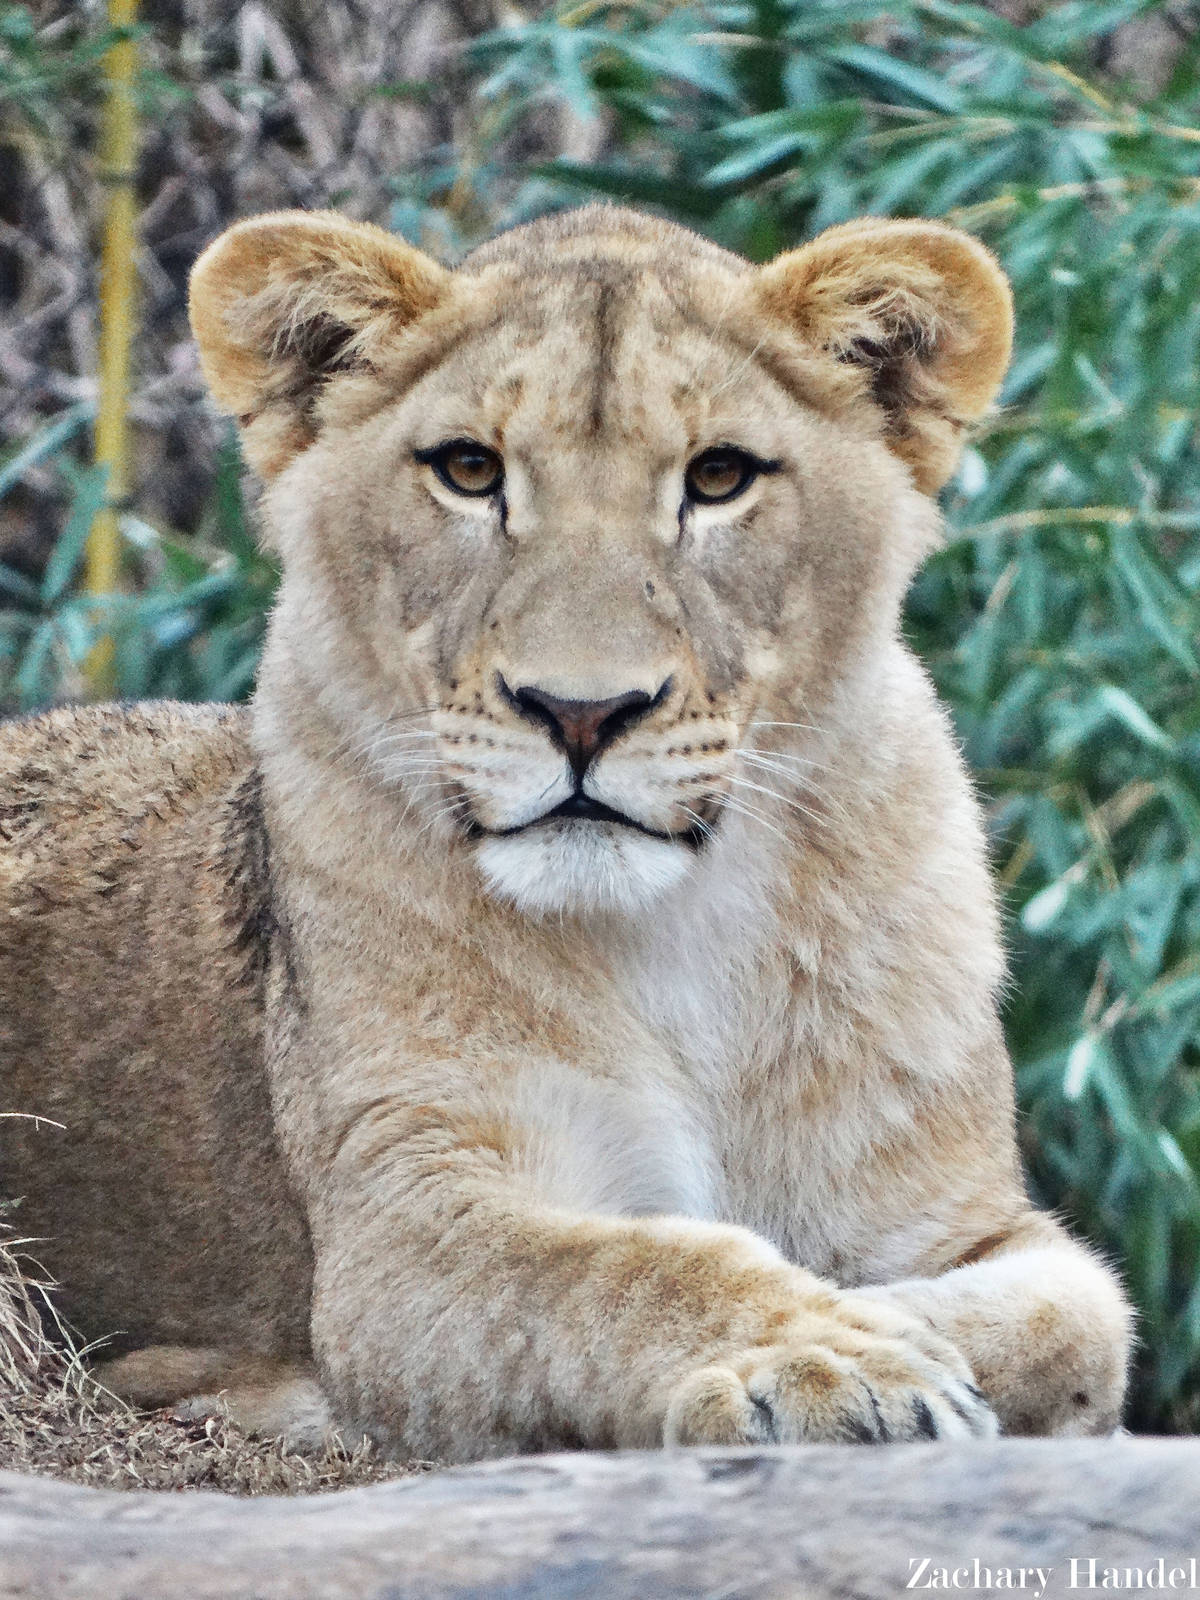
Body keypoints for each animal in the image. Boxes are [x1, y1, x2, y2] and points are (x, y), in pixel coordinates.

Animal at [0, 205, 1131, 1459]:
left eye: (719, 477)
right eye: (468, 470)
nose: (582, 711)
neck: (680, 936)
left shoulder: (962, 1215)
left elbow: (1076, 1319)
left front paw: (867, 1333)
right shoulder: (397, 1220)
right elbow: (627, 1269)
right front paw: (823, 1355)